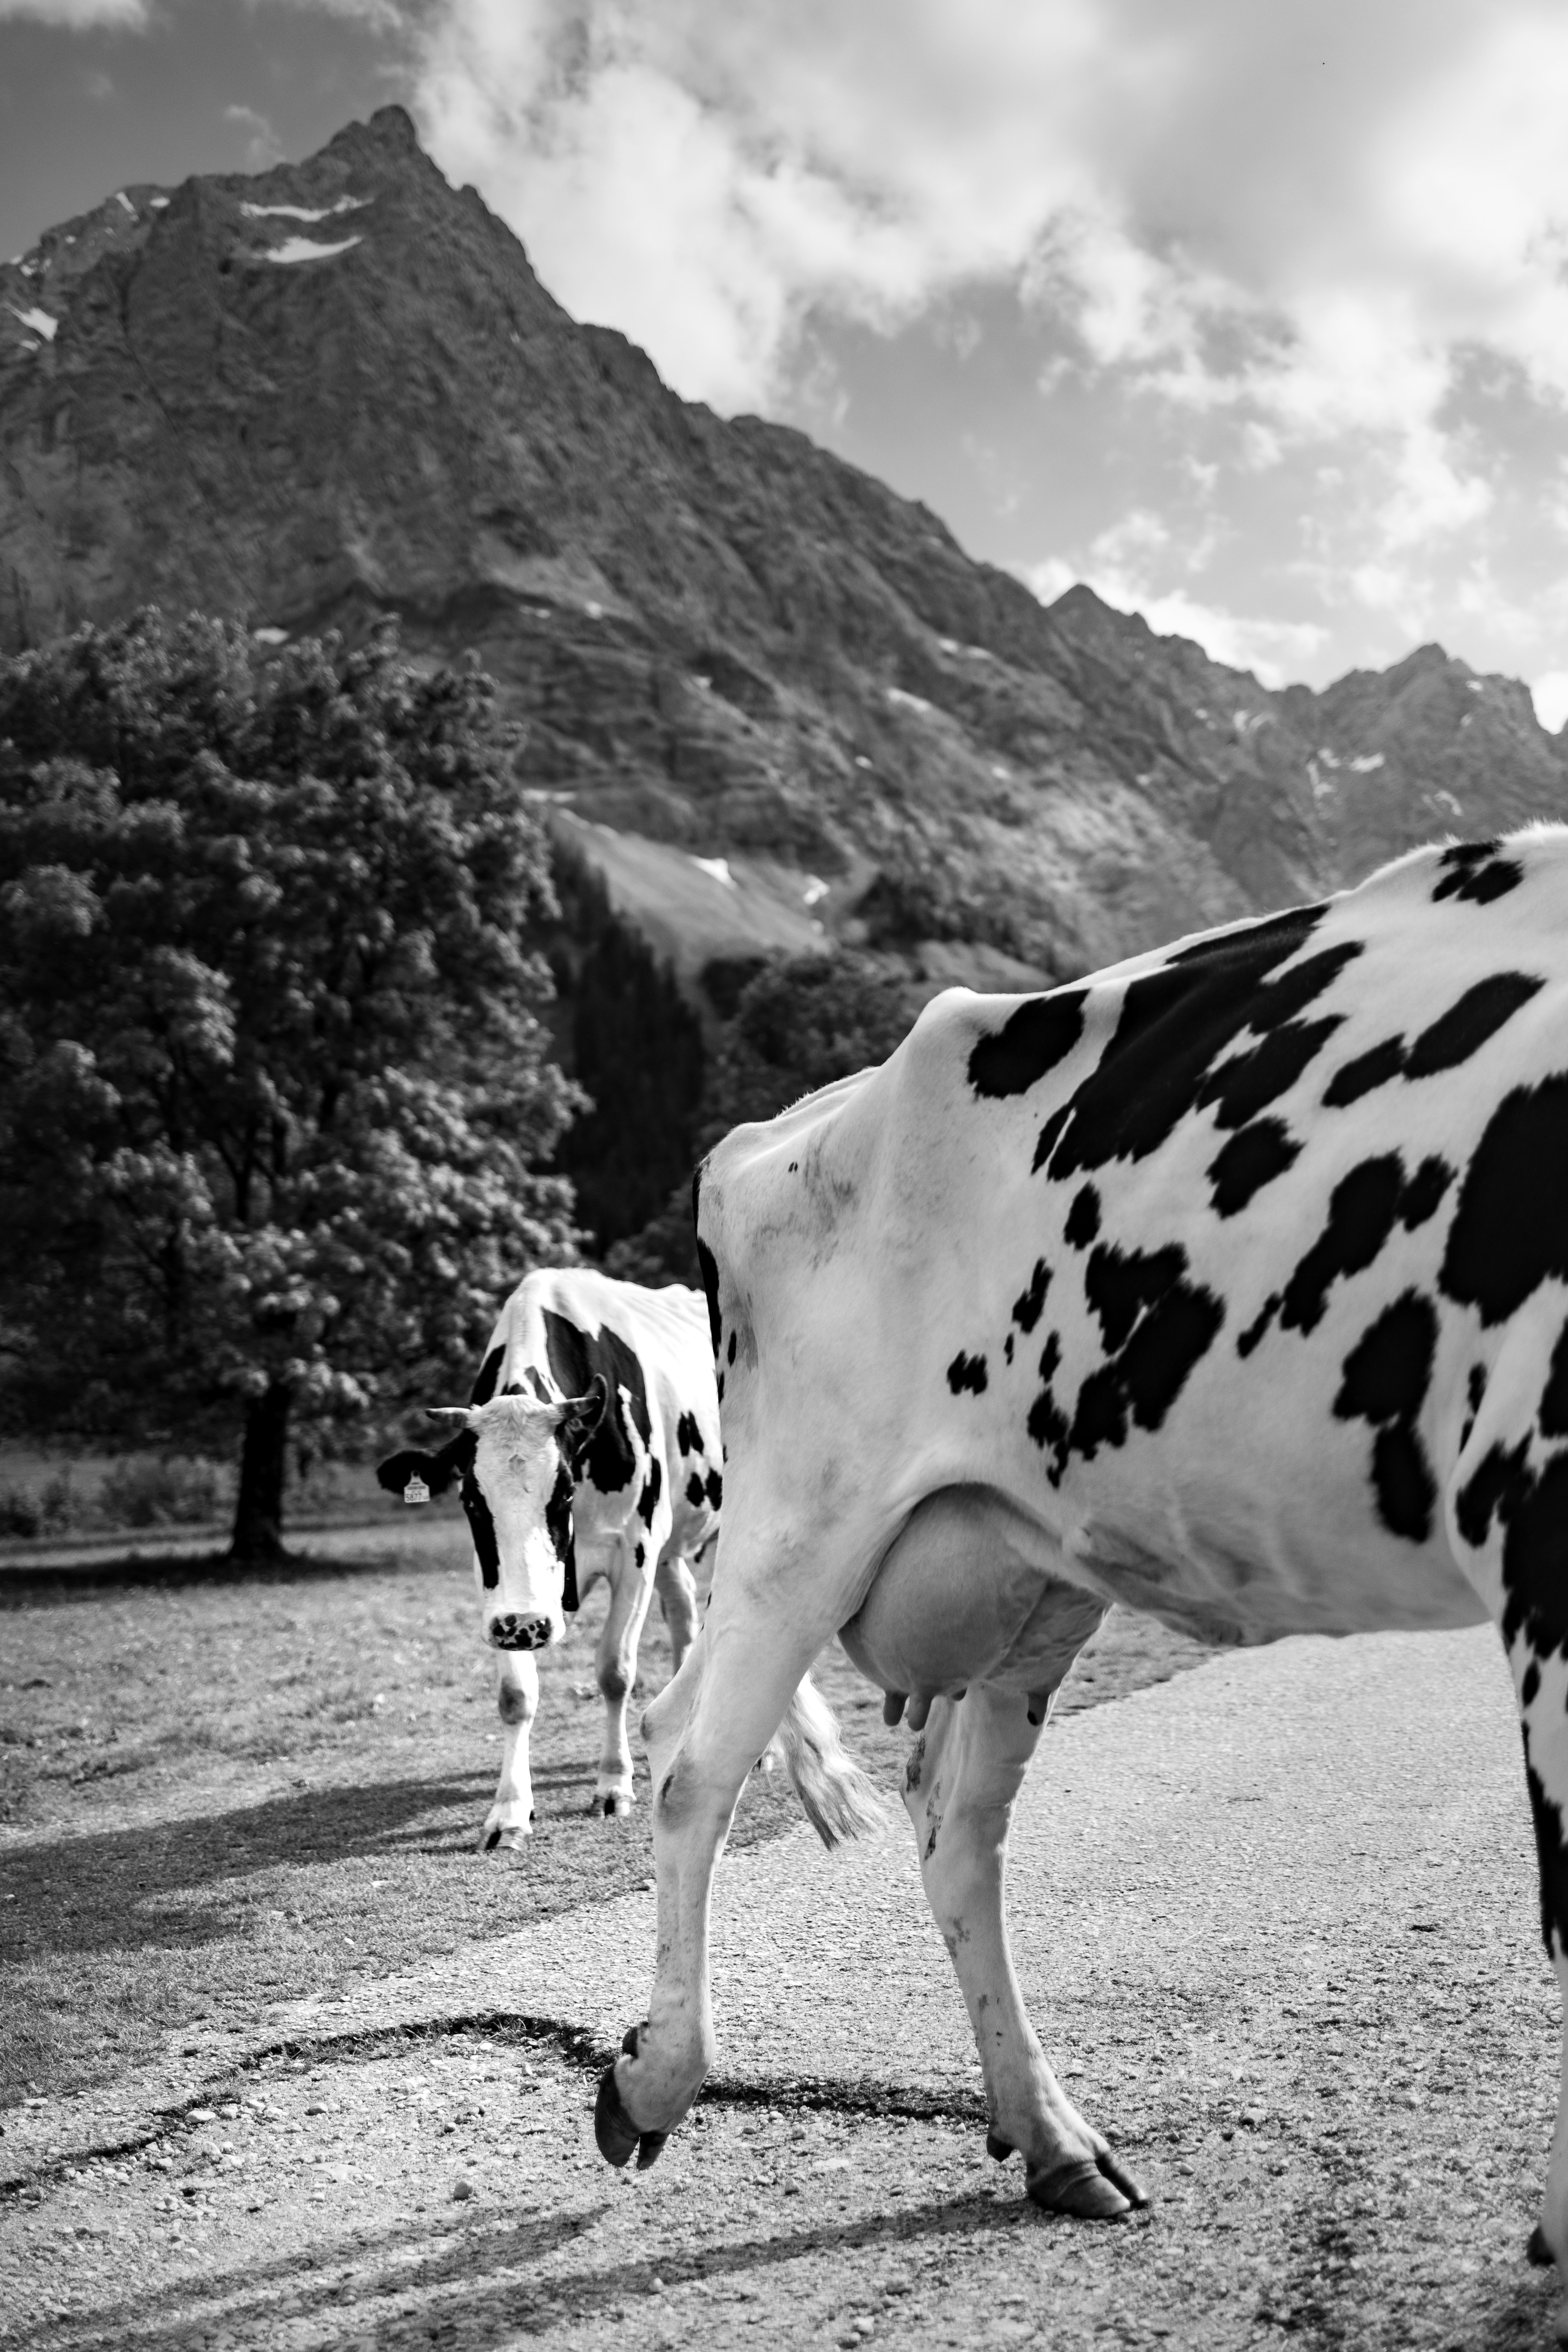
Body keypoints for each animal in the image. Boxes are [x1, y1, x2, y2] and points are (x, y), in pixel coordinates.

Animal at [376, 1268, 724, 1846]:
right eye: (471, 1500)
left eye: (562, 1493)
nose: (527, 1627)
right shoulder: (495, 1585)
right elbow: (517, 1694)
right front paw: (510, 1811)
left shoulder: (636, 1551)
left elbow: (614, 1671)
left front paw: (614, 1785)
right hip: (673, 1549)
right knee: (684, 1612)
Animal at [593, 824, 1568, 2316]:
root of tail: (797, 1121)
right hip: (801, 1524)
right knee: (697, 1761)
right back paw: (657, 2077)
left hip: (1028, 1569)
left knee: (956, 1825)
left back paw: (1048, 2135)